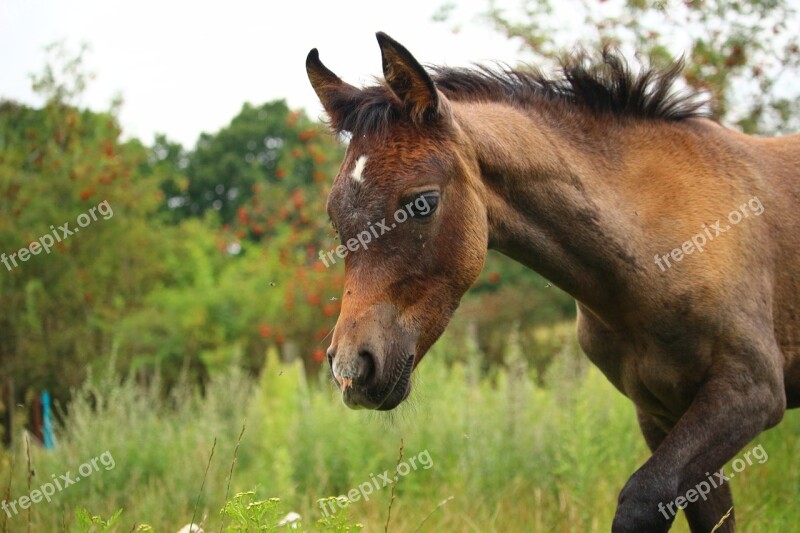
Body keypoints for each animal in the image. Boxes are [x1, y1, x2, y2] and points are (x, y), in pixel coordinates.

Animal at [306, 34, 800, 532]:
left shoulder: (750, 391)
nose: (352, 369)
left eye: (423, 202)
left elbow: (644, 496)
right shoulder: (660, 411)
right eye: (334, 216)